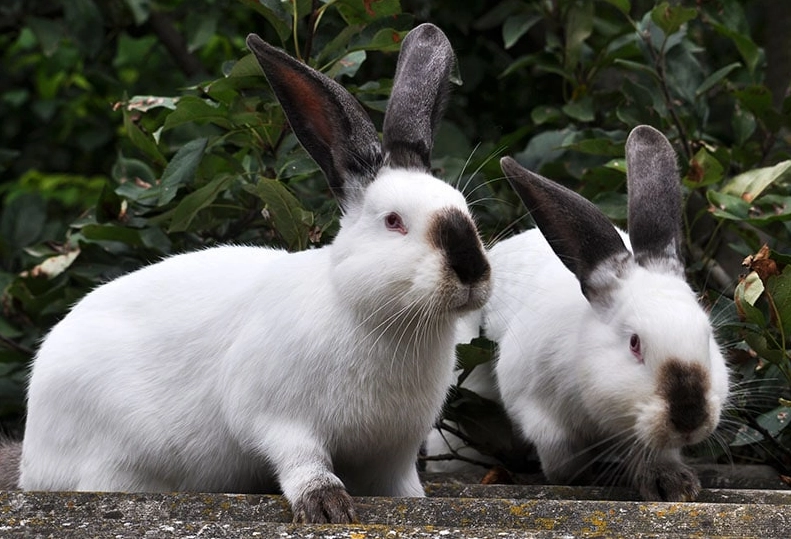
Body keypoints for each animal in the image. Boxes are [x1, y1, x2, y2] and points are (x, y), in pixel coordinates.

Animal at [18, 23, 491, 524]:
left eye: (465, 210)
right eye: (394, 221)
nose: (471, 270)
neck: (382, 320)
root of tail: (32, 456)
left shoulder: (393, 453)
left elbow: (402, 488)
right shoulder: (276, 417)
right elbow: (301, 461)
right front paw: (327, 507)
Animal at [483, 125, 729, 501]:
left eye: (708, 336)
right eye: (634, 344)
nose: (690, 416)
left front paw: (672, 484)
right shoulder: (538, 411)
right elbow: (561, 459)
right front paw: (581, 477)